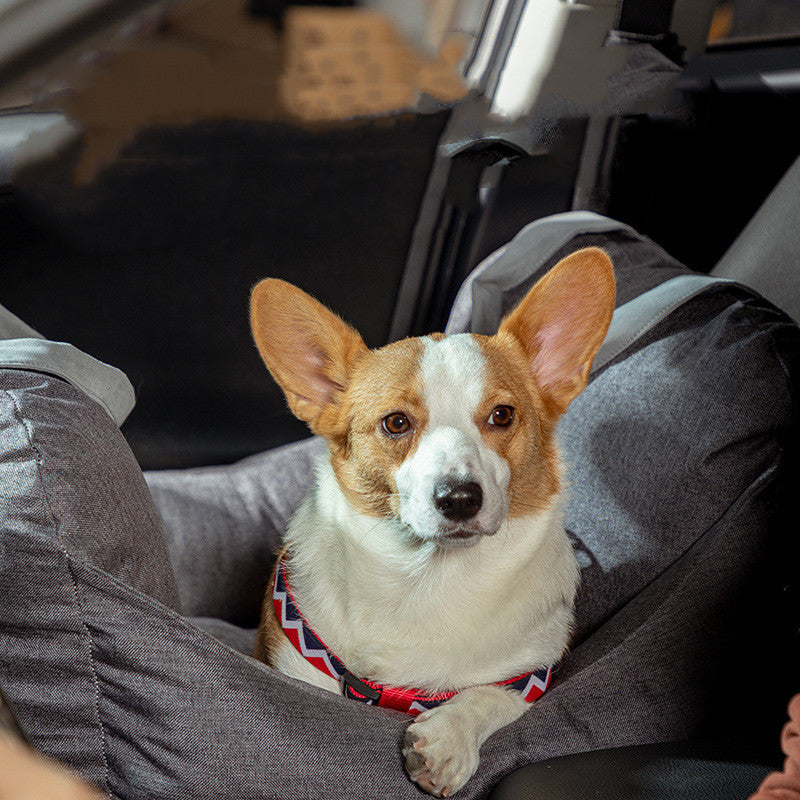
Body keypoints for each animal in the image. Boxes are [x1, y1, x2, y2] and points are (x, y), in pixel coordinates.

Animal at [253, 248, 616, 792]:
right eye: (396, 423)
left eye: (503, 415)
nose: (460, 498)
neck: (429, 578)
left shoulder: (531, 676)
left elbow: (491, 696)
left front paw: (449, 739)